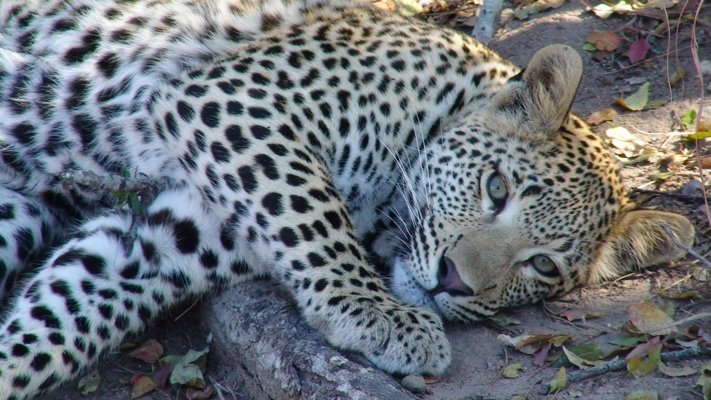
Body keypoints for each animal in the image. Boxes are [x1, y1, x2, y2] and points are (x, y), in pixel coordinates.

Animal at [0, 0, 696, 398]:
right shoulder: (240, 102)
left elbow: (58, 324)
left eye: (543, 266)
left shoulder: (165, 234)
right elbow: (311, 211)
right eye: (496, 187)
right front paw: (379, 314)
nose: (454, 282)